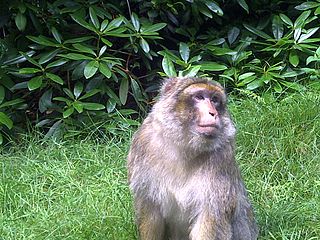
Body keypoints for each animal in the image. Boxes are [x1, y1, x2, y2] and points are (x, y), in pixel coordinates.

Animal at [127, 77, 258, 240]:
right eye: (199, 97)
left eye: (214, 100)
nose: (213, 113)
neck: (184, 146)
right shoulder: (143, 142)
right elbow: (150, 214)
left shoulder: (222, 155)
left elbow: (211, 219)